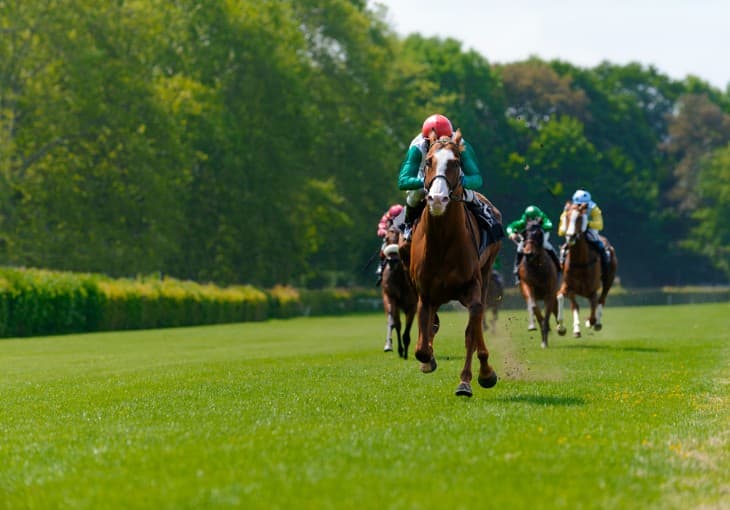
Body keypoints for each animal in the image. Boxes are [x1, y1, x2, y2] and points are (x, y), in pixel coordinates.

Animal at [380, 227, 417, 359]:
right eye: (386, 238)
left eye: (400, 238)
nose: (392, 261)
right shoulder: (390, 297)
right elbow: (396, 323)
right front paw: (396, 348)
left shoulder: (412, 304)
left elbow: (407, 328)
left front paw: (405, 351)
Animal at [407, 130, 503, 397]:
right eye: (428, 161)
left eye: (456, 163)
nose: (438, 199)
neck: (442, 241)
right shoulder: (425, 294)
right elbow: (422, 347)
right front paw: (428, 360)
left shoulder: (472, 287)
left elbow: (471, 331)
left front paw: (469, 380)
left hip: (486, 273)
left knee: (478, 321)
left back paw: (485, 370)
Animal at [515, 220, 559, 348]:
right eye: (524, 233)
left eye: (539, 233)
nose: (528, 253)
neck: (536, 267)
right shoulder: (527, 285)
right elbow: (534, 306)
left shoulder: (550, 291)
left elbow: (549, 311)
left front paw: (545, 339)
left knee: (555, 307)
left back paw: (560, 328)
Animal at [556, 202, 618, 337]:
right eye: (566, 217)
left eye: (580, 218)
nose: (570, 237)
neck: (580, 262)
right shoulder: (570, 287)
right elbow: (568, 301)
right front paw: (567, 328)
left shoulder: (592, 290)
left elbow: (594, 308)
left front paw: (590, 322)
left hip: (608, 279)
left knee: (601, 299)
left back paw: (597, 323)